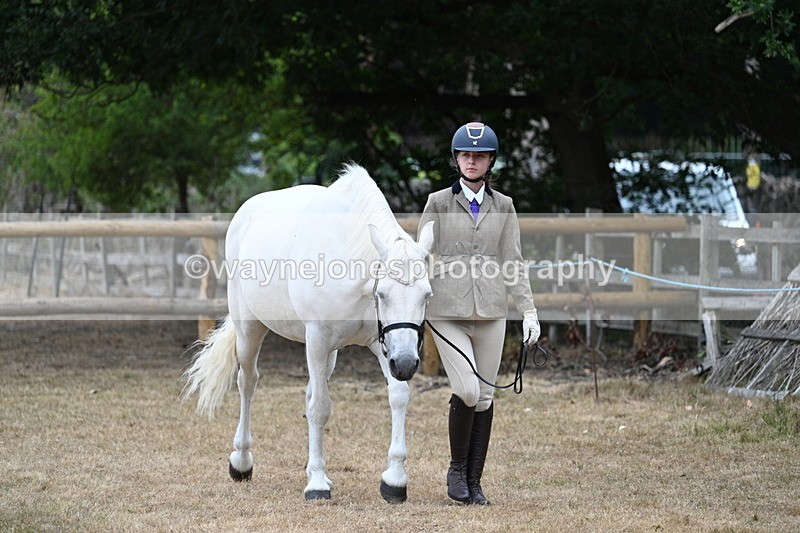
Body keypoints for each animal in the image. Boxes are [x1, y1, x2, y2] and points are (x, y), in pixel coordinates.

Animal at [182, 163, 435, 503]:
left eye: (426, 296)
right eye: (382, 294)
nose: (407, 364)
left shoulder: (383, 342)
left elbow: (398, 396)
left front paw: (394, 480)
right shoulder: (317, 337)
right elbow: (320, 409)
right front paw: (316, 484)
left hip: (331, 352)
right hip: (250, 328)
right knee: (247, 382)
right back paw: (242, 462)